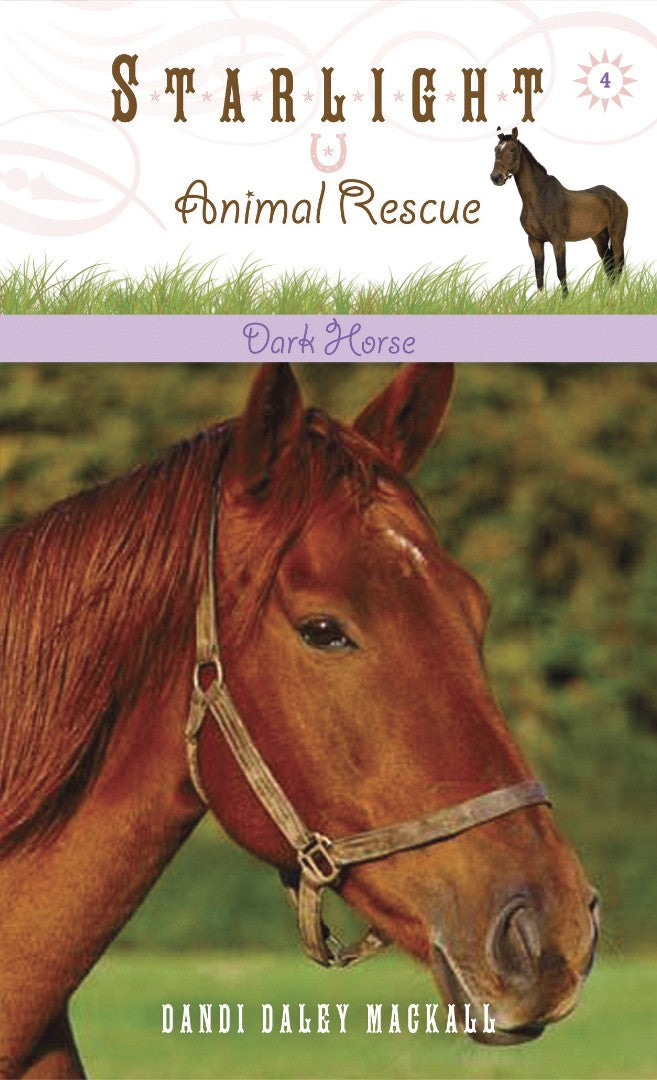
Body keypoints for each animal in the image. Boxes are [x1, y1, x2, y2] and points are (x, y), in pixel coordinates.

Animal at [491, 127, 628, 295]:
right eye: (496, 150)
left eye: (512, 149)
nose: (496, 177)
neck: (538, 198)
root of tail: (616, 196)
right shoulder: (534, 241)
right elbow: (539, 273)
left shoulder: (558, 241)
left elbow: (561, 272)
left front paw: (565, 299)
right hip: (599, 236)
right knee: (609, 265)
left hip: (617, 233)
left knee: (618, 263)